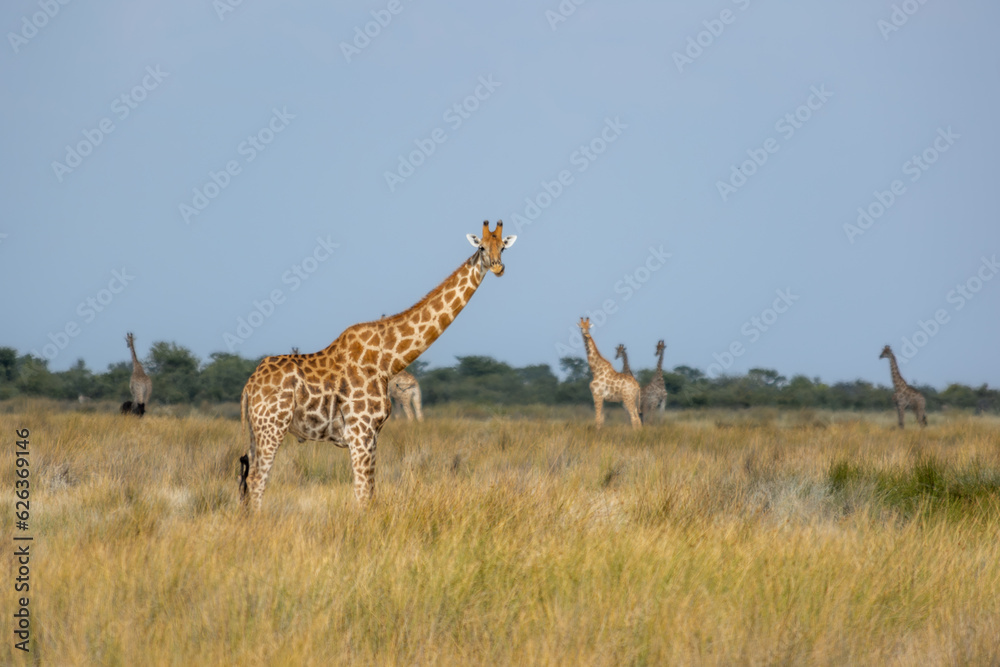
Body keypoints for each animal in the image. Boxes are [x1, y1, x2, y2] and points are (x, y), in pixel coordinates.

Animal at [238, 221, 516, 510]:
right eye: (481, 247)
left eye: (503, 247)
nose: (498, 267)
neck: (388, 360)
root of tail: (249, 386)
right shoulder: (360, 432)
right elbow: (362, 494)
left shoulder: (372, 435)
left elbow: (371, 492)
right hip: (272, 426)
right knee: (257, 480)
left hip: (256, 430)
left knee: (247, 479)